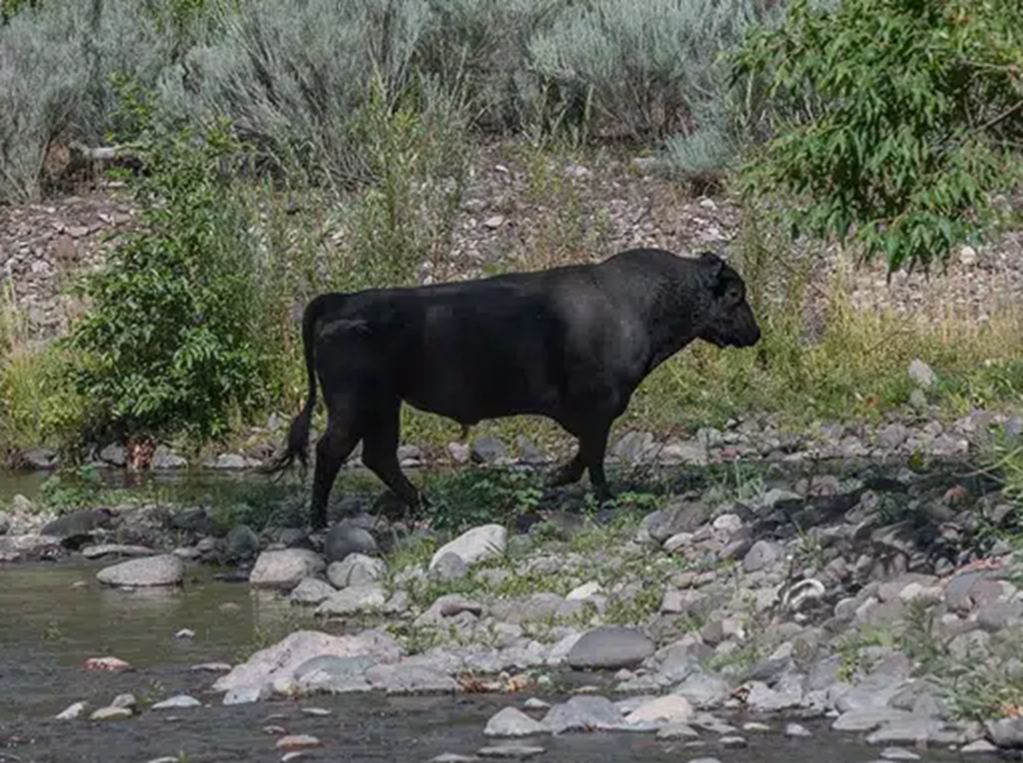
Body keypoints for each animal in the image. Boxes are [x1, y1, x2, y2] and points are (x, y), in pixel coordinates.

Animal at [268, 246, 765, 527]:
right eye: (735, 295)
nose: (755, 332)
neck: (640, 300)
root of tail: (341, 300)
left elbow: (588, 451)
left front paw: (558, 477)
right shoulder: (599, 407)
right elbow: (594, 454)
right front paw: (594, 491)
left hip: (385, 407)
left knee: (379, 456)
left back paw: (424, 503)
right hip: (354, 406)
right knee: (334, 451)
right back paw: (319, 521)